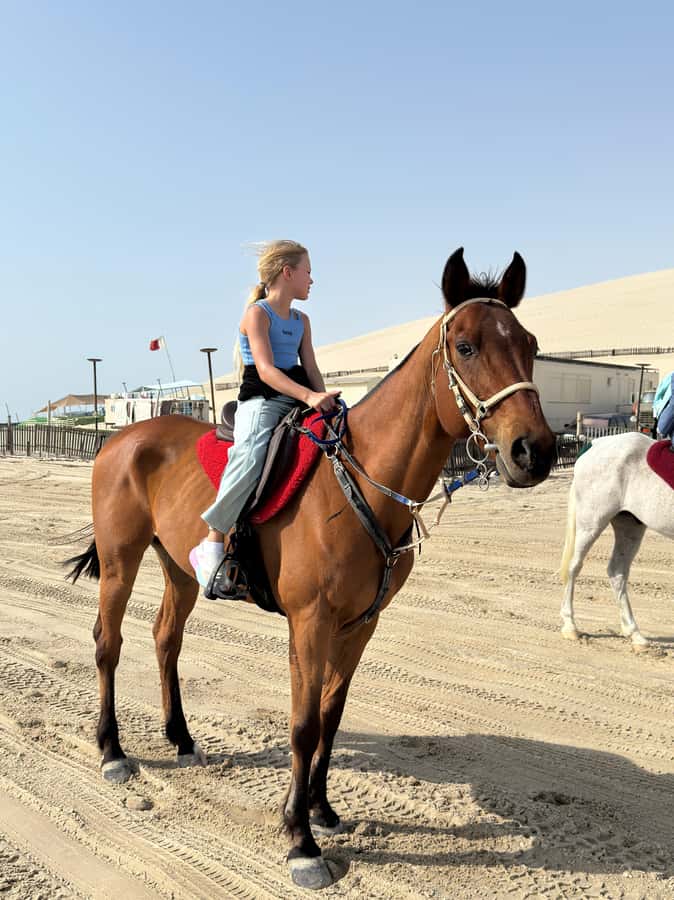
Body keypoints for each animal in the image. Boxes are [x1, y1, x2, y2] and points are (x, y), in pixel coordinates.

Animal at [67, 247, 555, 890]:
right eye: (467, 346)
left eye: (529, 343)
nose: (536, 451)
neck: (359, 483)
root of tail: (121, 436)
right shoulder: (311, 622)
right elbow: (301, 725)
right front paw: (300, 840)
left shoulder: (360, 624)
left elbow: (330, 714)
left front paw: (321, 809)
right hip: (121, 561)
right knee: (109, 643)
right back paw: (113, 751)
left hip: (178, 569)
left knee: (166, 638)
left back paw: (182, 738)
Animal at [559, 431, 674, 649]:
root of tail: (595, 444)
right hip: (592, 522)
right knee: (574, 567)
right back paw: (570, 626)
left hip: (629, 526)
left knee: (617, 571)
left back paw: (634, 633)